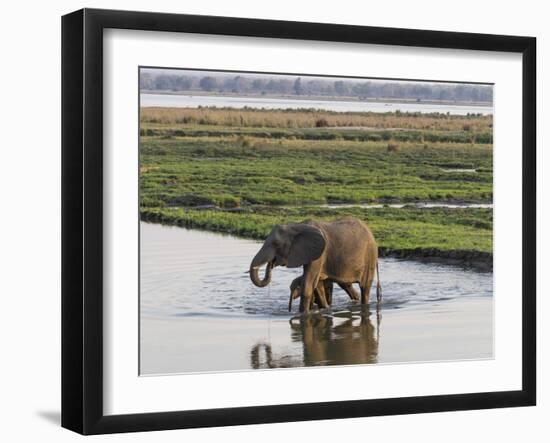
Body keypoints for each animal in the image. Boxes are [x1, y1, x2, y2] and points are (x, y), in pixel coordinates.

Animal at [251, 217, 384, 314]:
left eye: (276, 244)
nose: (271, 263)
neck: (295, 226)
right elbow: (317, 285)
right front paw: (324, 309)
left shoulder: (319, 255)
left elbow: (308, 284)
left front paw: (302, 314)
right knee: (346, 285)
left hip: (370, 256)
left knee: (364, 287)